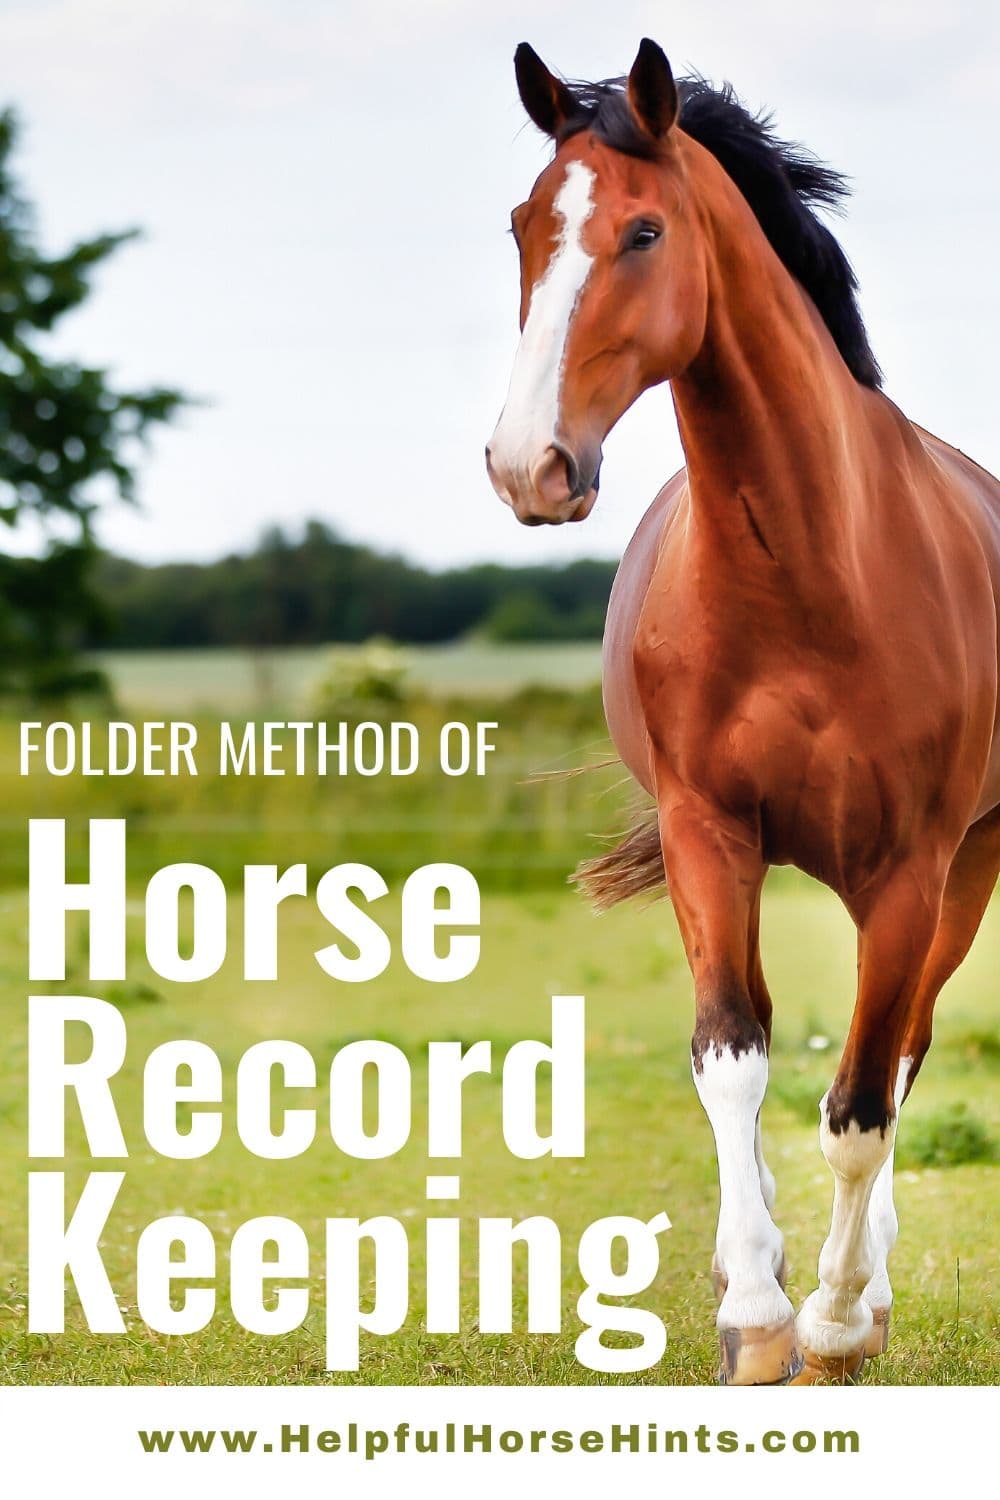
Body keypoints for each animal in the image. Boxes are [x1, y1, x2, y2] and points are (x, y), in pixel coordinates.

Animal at [485, 38, 1000, 1384]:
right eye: (522, 227)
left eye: (644, 230)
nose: (525, 465)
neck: (807, 575)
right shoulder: (708, 835)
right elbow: (731, 1060)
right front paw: (755, 1313)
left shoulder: (910, 868)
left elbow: (865, 1103)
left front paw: (832, 1322)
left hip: (963, 873)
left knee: (904, 1052)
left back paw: (863, 1291)